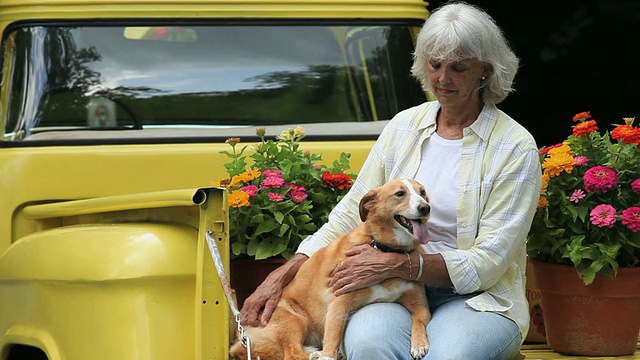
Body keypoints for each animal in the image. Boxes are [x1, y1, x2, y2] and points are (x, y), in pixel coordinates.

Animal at [228, 179, 432, 360]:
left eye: (422, 192)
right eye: (400, 193)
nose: (425, 208)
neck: (384, 248)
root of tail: (241, 335)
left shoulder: (420, 304)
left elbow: (419, 321)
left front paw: (419, 343)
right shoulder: (339, 303)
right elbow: (333, 335)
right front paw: (327, 355)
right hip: (295, 320)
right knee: (291, 354)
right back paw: (315, 355)